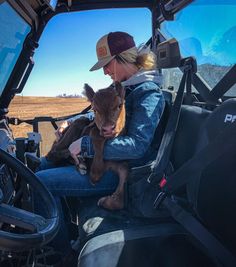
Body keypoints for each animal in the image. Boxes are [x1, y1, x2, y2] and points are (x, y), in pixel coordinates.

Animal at [46, 82, 129, 210]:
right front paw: (95, 173)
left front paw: (107, 202)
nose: (108, 129)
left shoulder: (119, 161)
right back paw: (80, 161)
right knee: (53, 152)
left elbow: (125, 171)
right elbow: (96, 134)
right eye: (94, 109)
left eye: (119, 105)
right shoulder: (92, 130)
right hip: (78, 123)